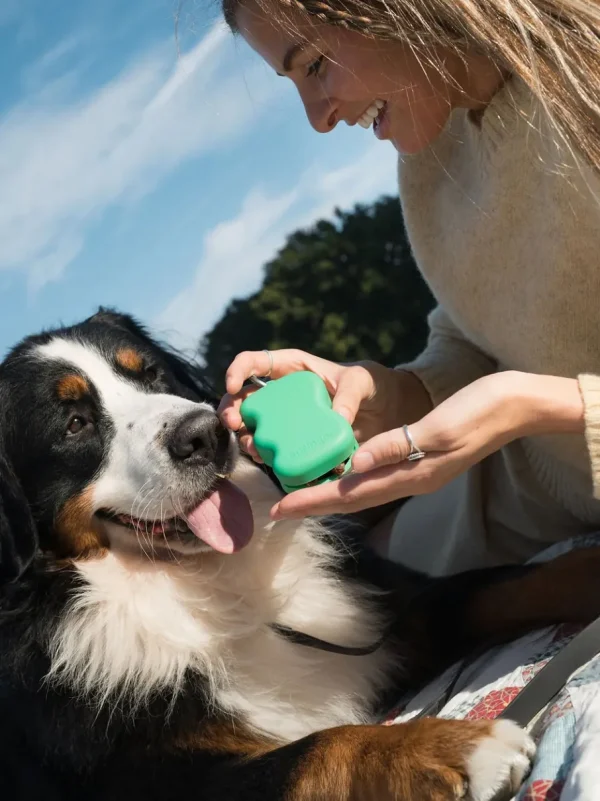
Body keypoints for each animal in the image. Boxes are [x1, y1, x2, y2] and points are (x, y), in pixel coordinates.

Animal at [1, 308, 600, 800]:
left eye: (149, 374)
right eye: (74, 423)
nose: (205, 433)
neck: (219, 587)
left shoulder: (388, 607)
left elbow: (509, 584)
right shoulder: (149, 778)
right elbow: (318, 748)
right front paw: (449, 749)